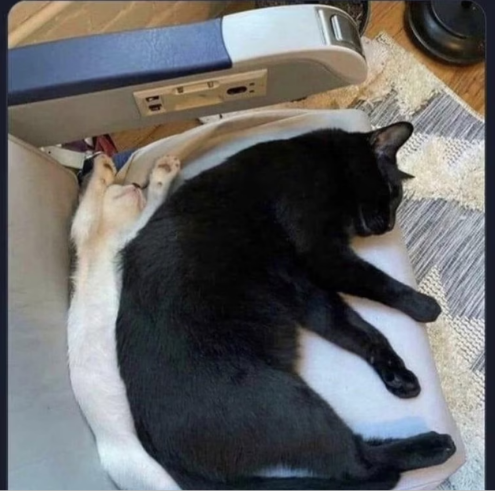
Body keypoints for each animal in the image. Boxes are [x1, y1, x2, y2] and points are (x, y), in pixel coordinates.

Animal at [68, 153, 181, 490]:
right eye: (125, 186)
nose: (134, 184)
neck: (108, 238)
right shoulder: (87, 231)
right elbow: (90, 202)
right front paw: (101, 166)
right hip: (147, 471)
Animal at [116, 122, 455, 490]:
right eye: (393, 193)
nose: (390, 225)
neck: (327, 163)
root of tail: (164, 459)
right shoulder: (322, 255)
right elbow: (377, 283)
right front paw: (424, 305)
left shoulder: (305, 288)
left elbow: (358, 329)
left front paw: (396, 373)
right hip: (288, 403)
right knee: (359, 465)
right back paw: (433, 445)